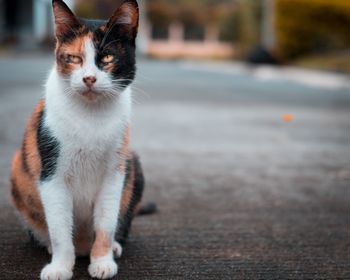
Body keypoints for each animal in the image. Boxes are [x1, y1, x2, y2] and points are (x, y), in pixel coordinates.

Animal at [9, 0, 146, 280]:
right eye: (73, 58)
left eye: (107, 58)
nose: (89, 78)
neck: (90, 116)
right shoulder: (51, 173)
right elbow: (60, 228)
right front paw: (60, 267)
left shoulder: (114, 172)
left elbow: (106, 223)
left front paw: (102, 261)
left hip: (133, 163)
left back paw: (114, 247)